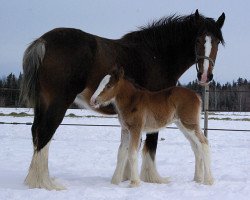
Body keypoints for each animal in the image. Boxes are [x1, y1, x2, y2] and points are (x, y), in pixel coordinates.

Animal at [21, 9, 225, 190]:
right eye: (198, 39)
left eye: (216, 41)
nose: (205, 76)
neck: (156, 54)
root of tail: (43, 41)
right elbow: (150, 145)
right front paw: (151, 178)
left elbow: (127, 150)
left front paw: (125, 177)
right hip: (58, 103)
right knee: (45, 133)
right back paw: (45, 183)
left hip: (43, 103)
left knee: (36, 132)